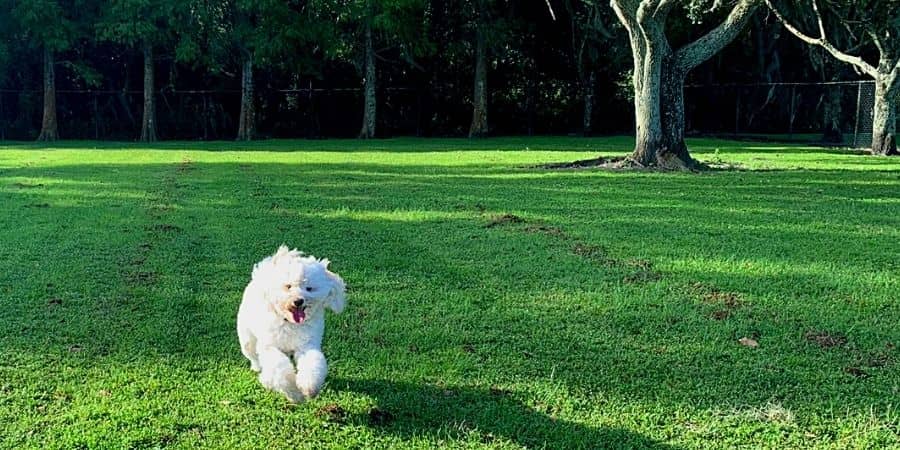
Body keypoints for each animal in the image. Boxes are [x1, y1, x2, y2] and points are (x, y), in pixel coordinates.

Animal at [237, 248, 346, 402]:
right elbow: (279, 369)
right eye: (288, 286)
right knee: (253, 356)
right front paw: (294, 393)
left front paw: (308, 388)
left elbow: (312, 363)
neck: (289, 323)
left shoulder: (306, 345)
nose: (298, 301)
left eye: (309, 288)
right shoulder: (270, 347)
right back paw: (259, 370)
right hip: (247, 338)